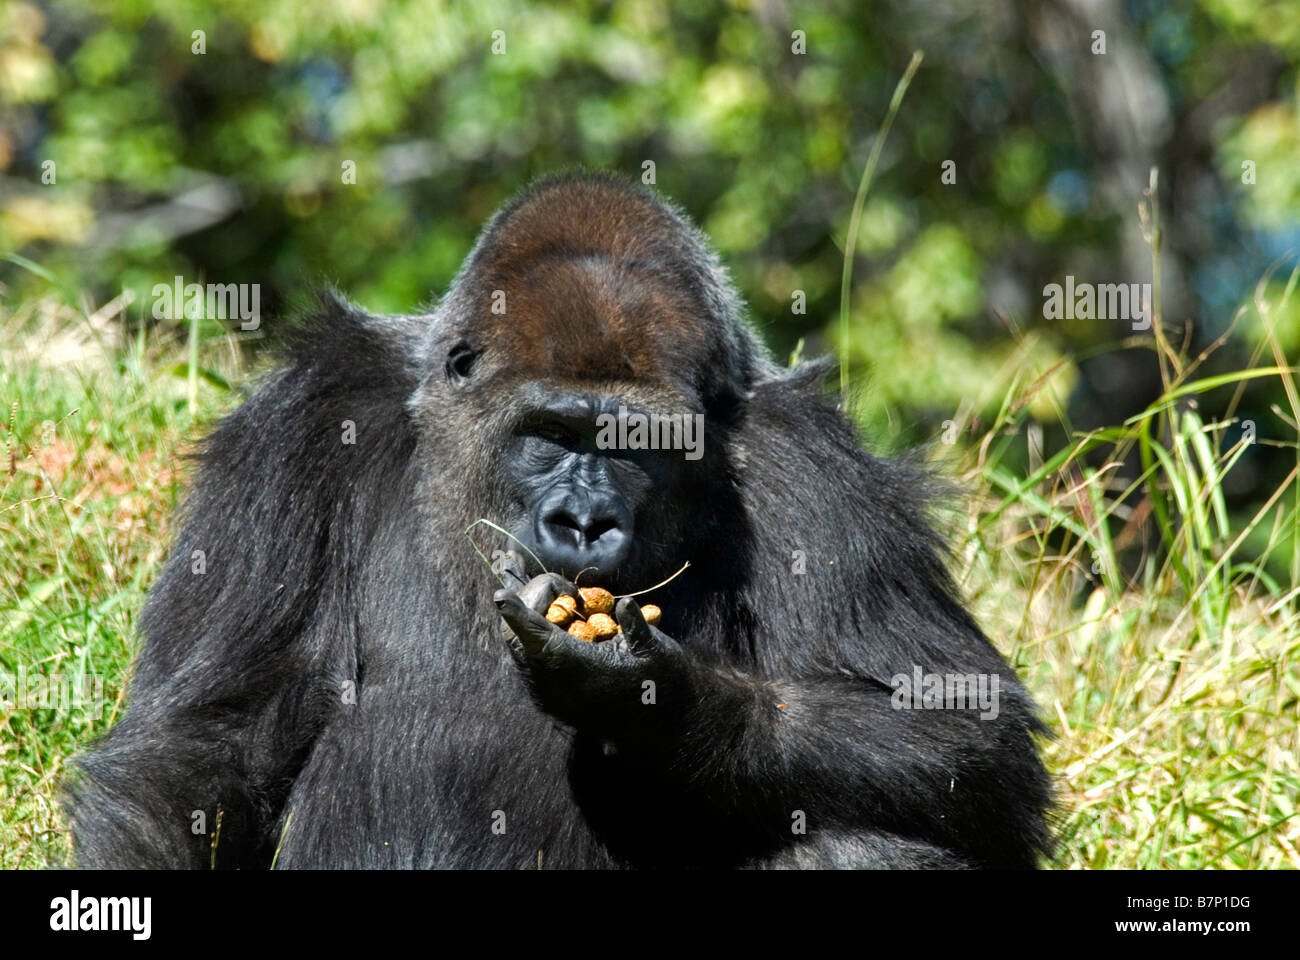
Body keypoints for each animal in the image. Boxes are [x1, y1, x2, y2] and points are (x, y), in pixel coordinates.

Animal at [65, 171, 1050, 868]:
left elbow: (966, 730)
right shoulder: (303, 421)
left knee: (859, 842)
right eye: (549, 435)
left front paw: (658, 700)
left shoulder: (812, 468)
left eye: (637, 444)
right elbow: (198, 748)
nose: (583, 522)